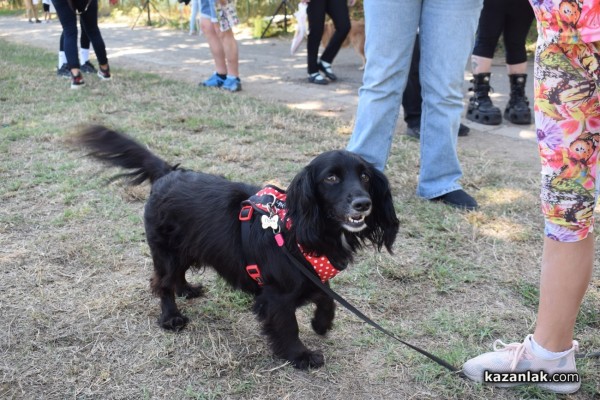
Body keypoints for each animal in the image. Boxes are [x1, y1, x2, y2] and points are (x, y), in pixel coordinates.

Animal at [75, 125, 398, 368]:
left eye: (365, 176)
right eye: (331, 177)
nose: (363, 203)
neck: (295, 229)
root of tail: (167, 172)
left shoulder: (309, 277)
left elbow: (326, 297)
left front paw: (321, 323)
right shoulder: (277, 295)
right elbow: (288, 325)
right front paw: (301, 356)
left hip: (189, 247)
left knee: (178, 275)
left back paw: (187, 290)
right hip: (166, 251)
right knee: (162, 282)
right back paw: (171, 317)